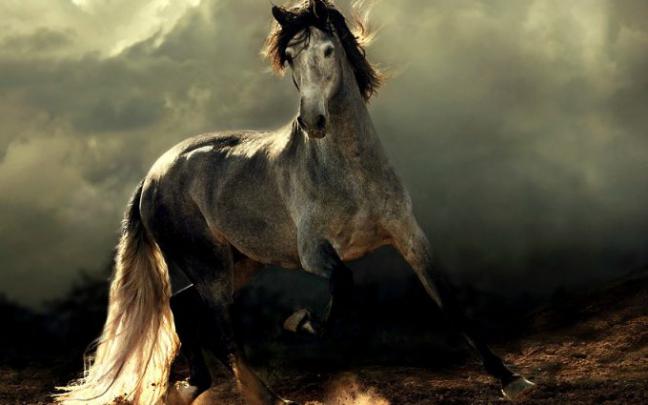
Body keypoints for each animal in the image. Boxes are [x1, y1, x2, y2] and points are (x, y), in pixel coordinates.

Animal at [56, 1, 536, 404]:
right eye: (288, 57)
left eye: (328, 50)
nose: (313, 121)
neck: (351, 171)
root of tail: (153, 175)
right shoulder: (314, 252)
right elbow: (343, 282)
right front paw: (300, 321)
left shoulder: (410, 238)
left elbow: (448, 302)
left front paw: (511, 379)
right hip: (208, 265)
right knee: (222, 328)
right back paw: (265, 397)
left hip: (239, 261)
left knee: (183, 307)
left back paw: (194, 387)